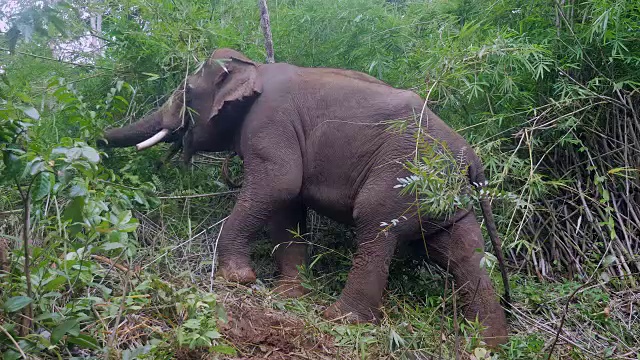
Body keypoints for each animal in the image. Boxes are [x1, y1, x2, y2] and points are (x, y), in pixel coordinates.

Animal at [100, 47, 510, 346]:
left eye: (185, 90)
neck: (253, 66)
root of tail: (473, 160)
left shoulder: (270, 121)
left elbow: (279, 184)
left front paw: (239, 279)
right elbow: (287, 205)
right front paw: (288, 296)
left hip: (404, 172)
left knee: (377, 226)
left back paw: (340, 318)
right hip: (444, 195)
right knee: (460, 251)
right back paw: (488, 344)